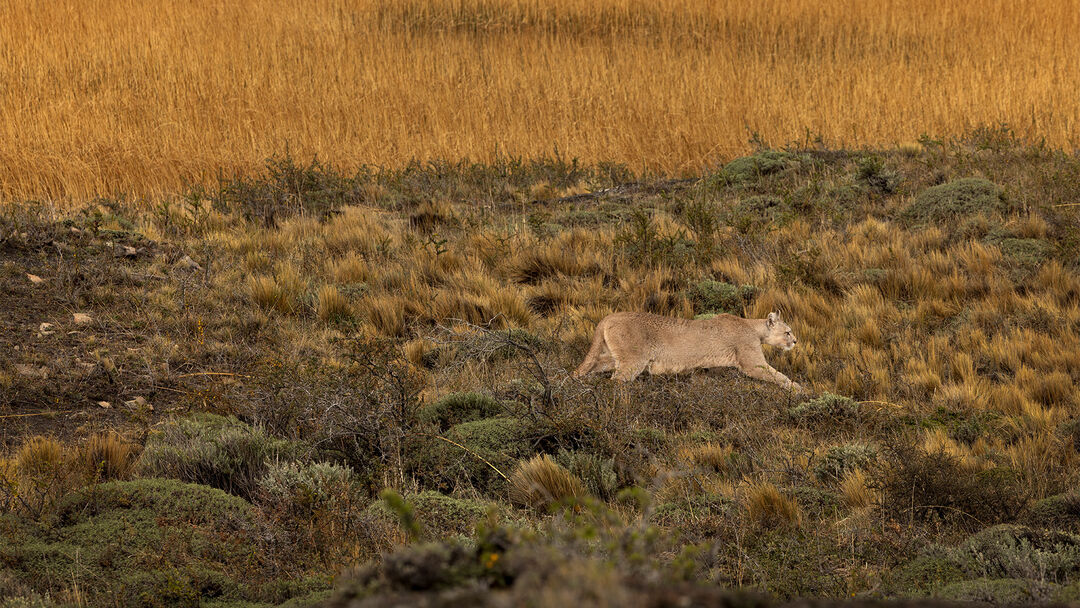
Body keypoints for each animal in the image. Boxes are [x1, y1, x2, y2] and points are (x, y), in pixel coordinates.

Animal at [573, 310, 804, 392]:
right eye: (788, 331)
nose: (795, 341)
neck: (753, 327)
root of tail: (609, 316)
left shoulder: (705, 368)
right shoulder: (753, 363)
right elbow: (778, 375)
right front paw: (799, 389)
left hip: (611, 358)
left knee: (586, 368)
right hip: (633, 361)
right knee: (615, 381)